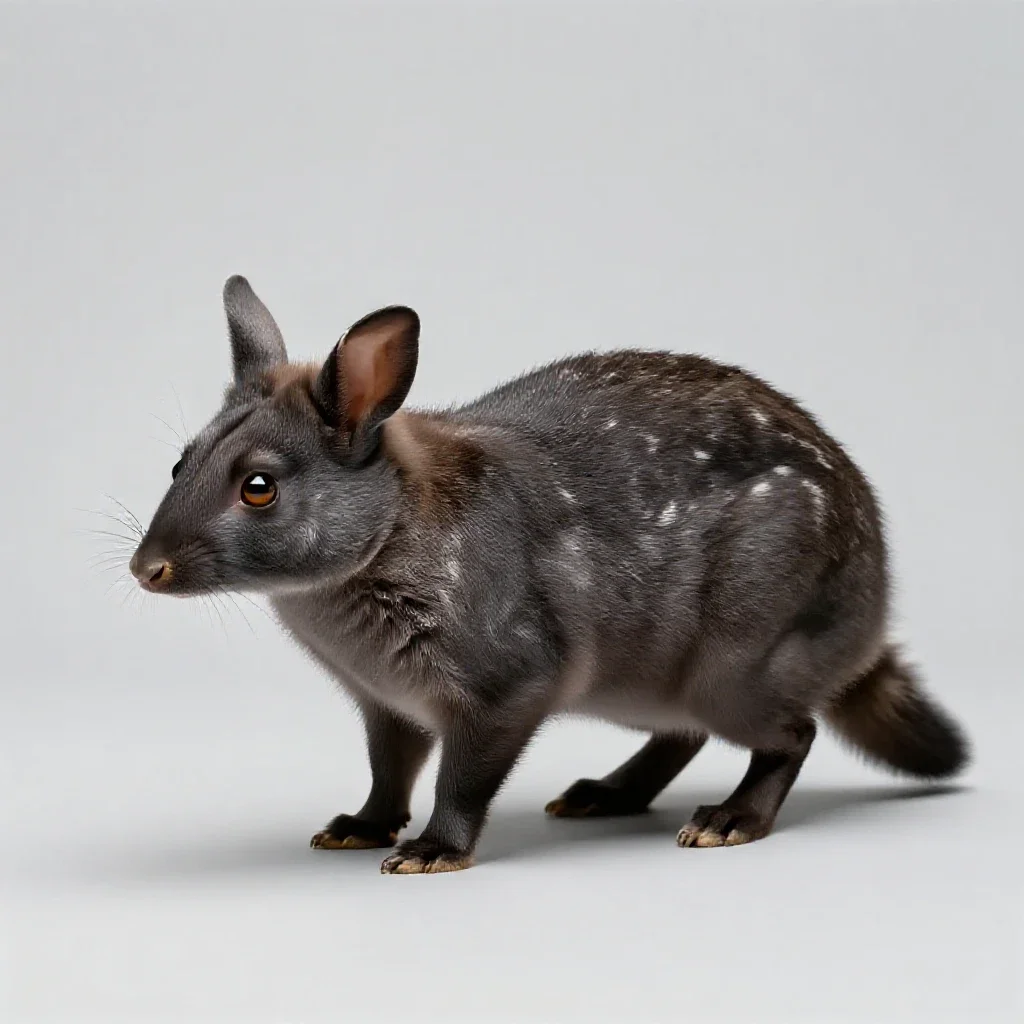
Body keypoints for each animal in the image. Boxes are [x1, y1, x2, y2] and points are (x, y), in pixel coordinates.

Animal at [129, 275, 969, 874]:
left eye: (258, 486)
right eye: (179, 464)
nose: (146, 568)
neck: (394, 526)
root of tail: (872, 609)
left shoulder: (504, 691)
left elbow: (460, 779)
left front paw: (432, 853)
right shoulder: (387, 706)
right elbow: (389, 771)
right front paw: (357, 830)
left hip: (737, 667)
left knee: (790, 733)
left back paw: (727, 822)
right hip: (646, 686)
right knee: (683, 736)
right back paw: (603, 796)